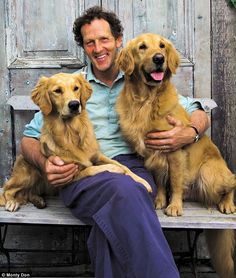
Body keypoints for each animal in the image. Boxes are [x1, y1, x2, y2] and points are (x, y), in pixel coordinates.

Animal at [0, 72, 151, 213]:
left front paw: (142, 182)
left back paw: (38, 200)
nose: (74, 104)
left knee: (28, 193)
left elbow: (123, 166)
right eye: (57, 91)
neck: (71, 132)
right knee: (8, 190)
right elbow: (93, 169)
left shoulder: (97, 156)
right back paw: (12, 202)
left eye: (76, 88)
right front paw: (114, 169)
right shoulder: (68, 177)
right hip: (27, 174)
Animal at [116, 33, 236, 278]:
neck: (146, 100)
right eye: (142, 47)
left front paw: (174, 206)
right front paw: (161, 201)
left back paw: (228, 204)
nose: (159, 58)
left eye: (162, 46)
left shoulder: (174, 151)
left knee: (232, 181)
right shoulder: (152, 155)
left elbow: (175, 180)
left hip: (209, 174)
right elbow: (162, 181)